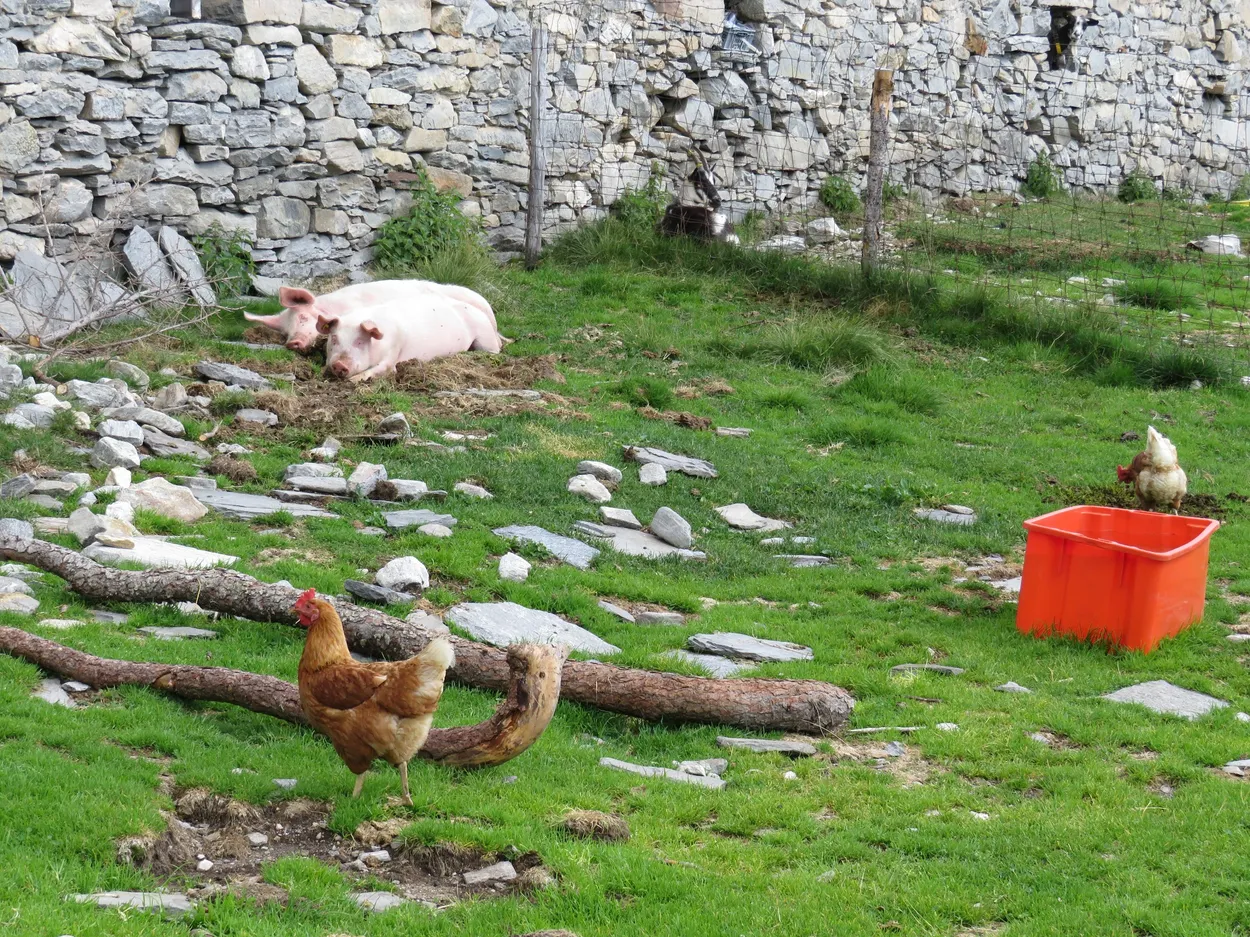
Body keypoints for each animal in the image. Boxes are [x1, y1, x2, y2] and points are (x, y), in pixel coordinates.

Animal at [318, 294, 503, 382]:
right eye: (334, 338)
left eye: (359, 341)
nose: (339, 364)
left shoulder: (393, 352)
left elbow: (384, 369)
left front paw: (353, 381)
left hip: (485, 339)